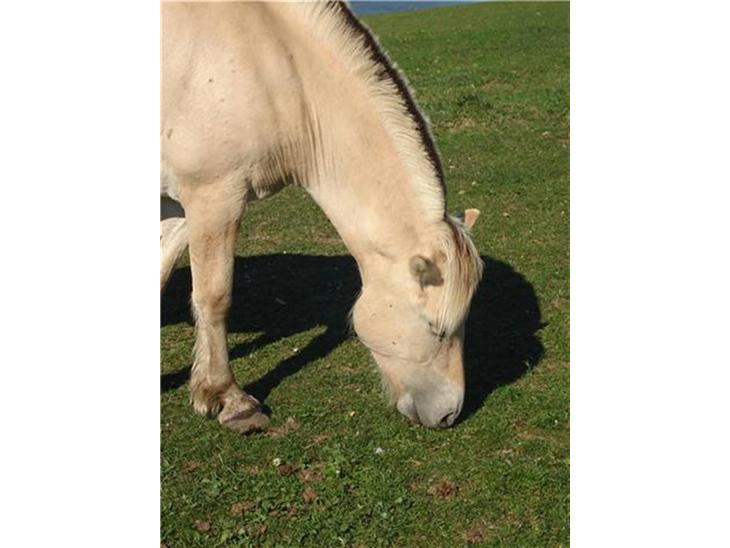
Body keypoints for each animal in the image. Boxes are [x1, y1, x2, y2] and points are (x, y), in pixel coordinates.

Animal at [160, 1, 483, 433]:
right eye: (436, 327)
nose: (449, 414)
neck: (265, 57)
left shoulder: (180, 204)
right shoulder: (214, 197)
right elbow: (215, 297)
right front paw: (228, 399)